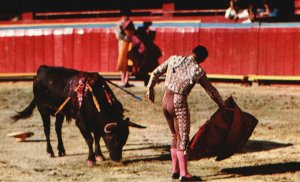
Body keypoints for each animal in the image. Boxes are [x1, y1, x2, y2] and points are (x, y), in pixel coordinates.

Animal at [12, 65, 146, 165]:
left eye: (124, 139)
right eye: (114, 139)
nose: (117, 158)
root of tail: (42, 69)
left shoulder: (96, 124)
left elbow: (97, 137)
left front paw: (99, 155)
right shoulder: (81, 123)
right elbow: (90, 139)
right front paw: (91, 159)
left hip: (60, 112)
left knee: (58, 129)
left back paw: (61, 150)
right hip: (42, 110)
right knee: (47, 130)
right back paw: (50, 152)